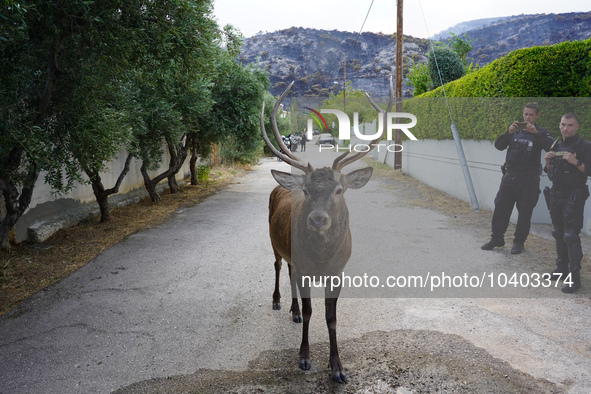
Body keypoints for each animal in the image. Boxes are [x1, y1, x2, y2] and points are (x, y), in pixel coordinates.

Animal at [260, 81, 388, 384]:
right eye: (307, 190)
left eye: (339, 190)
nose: (318, 219)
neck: (320, 259)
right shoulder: (305, 268)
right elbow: (310, 312)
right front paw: (304, 358)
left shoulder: (338, 272)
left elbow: (331, 318)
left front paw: (337, 368)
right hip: (274, 242)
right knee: (278, 266)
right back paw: (279, 302)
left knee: (290, 273)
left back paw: (292, 310)